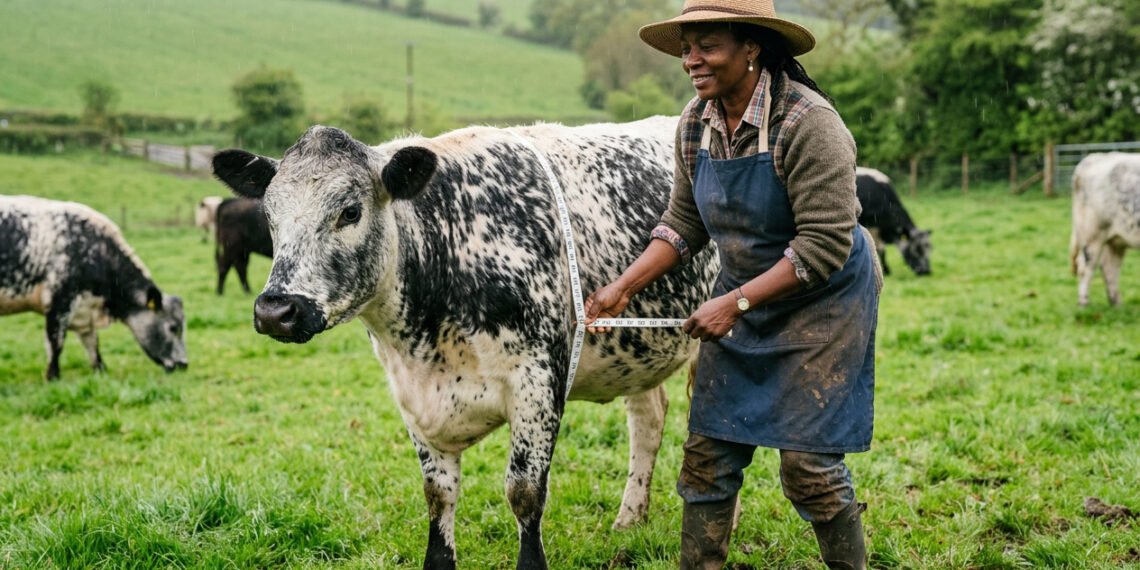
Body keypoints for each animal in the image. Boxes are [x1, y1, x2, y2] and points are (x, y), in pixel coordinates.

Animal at [0, 195, 189, 380]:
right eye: (173, 327)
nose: (184, 364)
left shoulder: (84, 311)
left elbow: (92, 343)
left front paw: (101, 370)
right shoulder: (59, 303)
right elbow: (56, 342)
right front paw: (53, 376)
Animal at [211, 116, 718, 569]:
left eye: (350, 212)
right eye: (269, 216)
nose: (275, 310)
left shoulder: (537, 385)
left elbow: (523, 492)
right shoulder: (412, 395)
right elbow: (438, 495)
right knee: (648, 421)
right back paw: (629, 519)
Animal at [1069, 152, 1140, 306]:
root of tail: (1096, 157)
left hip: (1117, 237)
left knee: (1109, 268)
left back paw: (1117, 304)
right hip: (1092, 234)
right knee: (1085, 267)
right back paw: (1084, 304)